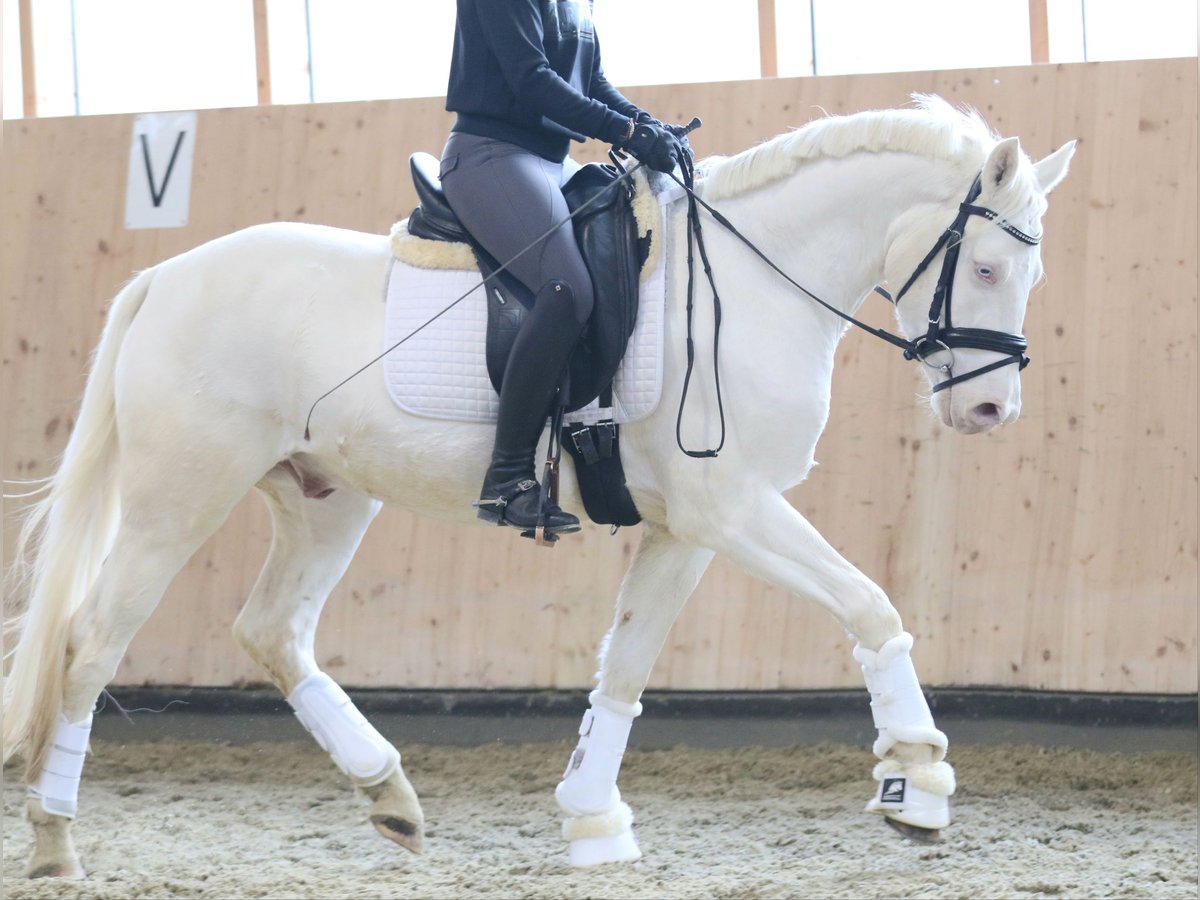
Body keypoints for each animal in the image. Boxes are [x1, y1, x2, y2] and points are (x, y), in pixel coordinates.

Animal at [3, 95, 1074, 877]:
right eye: (985, 267)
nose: (990, 411)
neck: (753, 288)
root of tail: (167, 276)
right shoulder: (733, 510)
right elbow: (870, 605)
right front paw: (916, 784)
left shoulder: (688, 528)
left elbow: (626, 670)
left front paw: (594, 821)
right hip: (177, 498)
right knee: (91, 644)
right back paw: (56, 840)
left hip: (325, 497)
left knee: (271, 632)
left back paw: (391, 796)